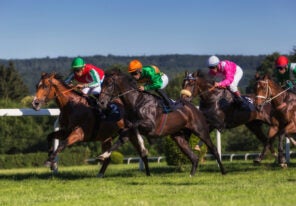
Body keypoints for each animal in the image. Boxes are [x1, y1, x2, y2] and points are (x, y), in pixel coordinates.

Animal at [97, 69, 227, 175]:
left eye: (109, 84)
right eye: (102, 84)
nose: (101, 103)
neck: (136, 101)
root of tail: (195, 109)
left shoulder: (150, 126)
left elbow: (134, 126)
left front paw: (144, 148)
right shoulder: (130, 128)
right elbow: (123, 137)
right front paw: (103, 155)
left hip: (201, 131)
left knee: (214, 149)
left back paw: (223, 171)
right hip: (179, 137)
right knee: (194, 157)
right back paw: (191, 175)